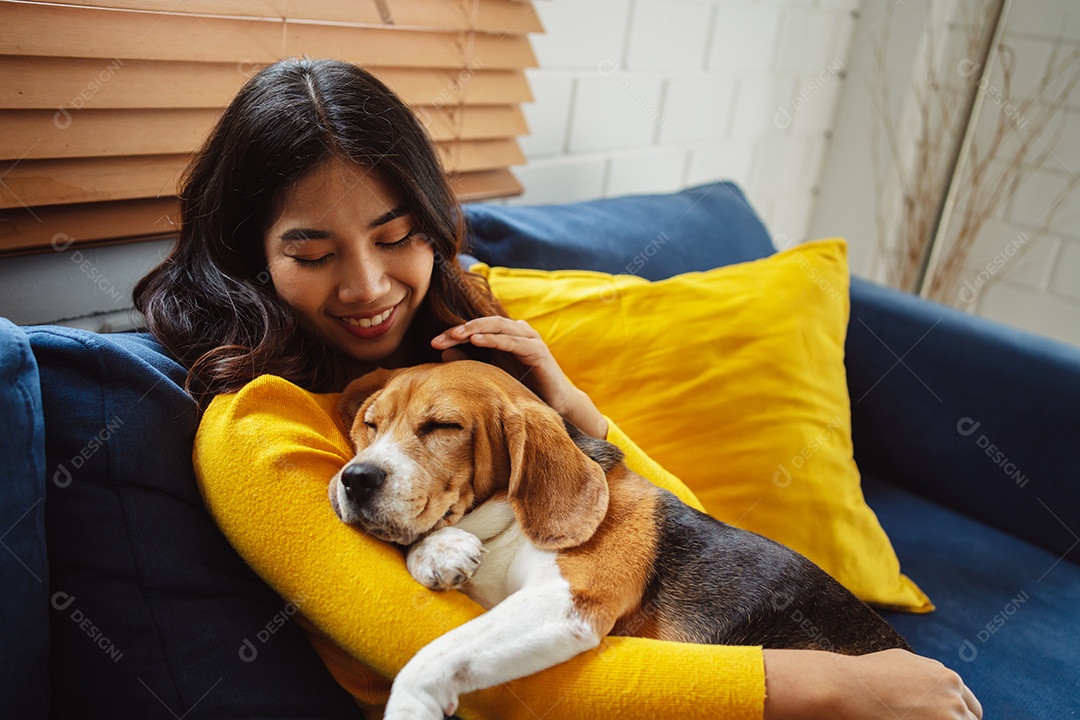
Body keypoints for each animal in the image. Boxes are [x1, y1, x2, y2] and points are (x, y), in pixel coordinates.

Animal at [328, 360, 911, 720]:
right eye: (372, 424)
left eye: (443, 427)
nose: (355, 478)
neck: (507, 524)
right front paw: (438, 550)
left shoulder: (568, 600)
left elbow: (433, 654)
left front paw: (410, 705)